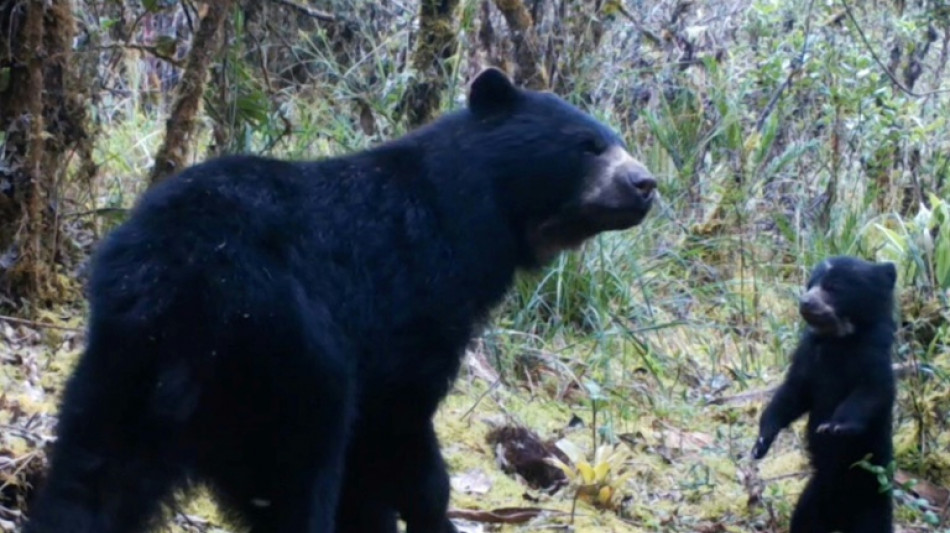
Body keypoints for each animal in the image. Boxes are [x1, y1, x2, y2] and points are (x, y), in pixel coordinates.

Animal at [22, 67, 657, 533]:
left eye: (621, 143)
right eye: (588, 146)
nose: (645, 184)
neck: (478, 218)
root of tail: (184, 284)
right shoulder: (413, 302)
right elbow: (400, 422)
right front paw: (432, 516)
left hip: (125, 361)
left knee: (95, 474)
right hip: (289, 368)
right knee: (298, 476)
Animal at [752, 255, 898, 533]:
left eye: (834, 287)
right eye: (811, 283)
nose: (805, 301)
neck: (838, 340)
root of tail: (839, 517)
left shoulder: (873, 359)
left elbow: (870, 393)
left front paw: (835, 426)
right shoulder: (808, 359)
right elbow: (791, 395)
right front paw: (761, 443)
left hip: (871, 504)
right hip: (812, 501)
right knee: (802, 522)